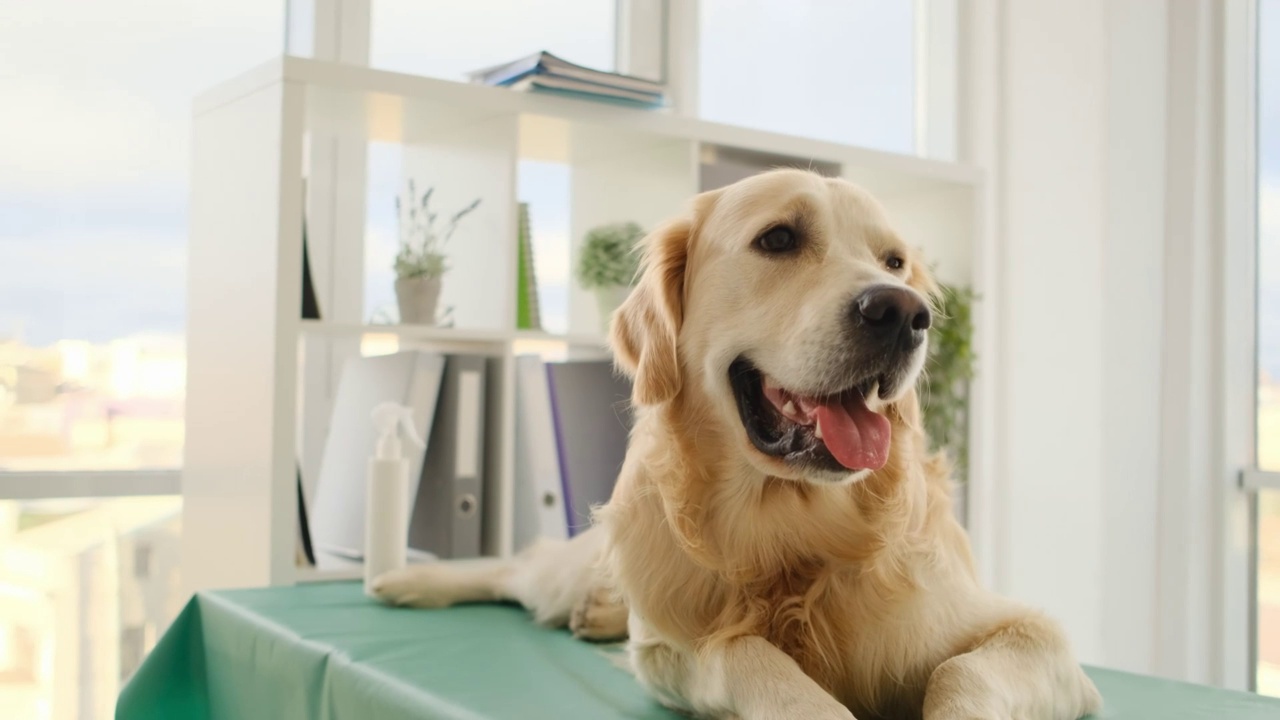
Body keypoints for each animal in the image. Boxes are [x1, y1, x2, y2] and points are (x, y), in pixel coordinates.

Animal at [373, 169, 1100, 717]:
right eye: (778, 238)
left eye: (895, 262)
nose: (903, 313)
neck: (791, 529)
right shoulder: (672, 652)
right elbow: (740, 650)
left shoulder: (1038, 640)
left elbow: (962, 671)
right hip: (580, 570)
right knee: (518, 566)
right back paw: (405, 579)